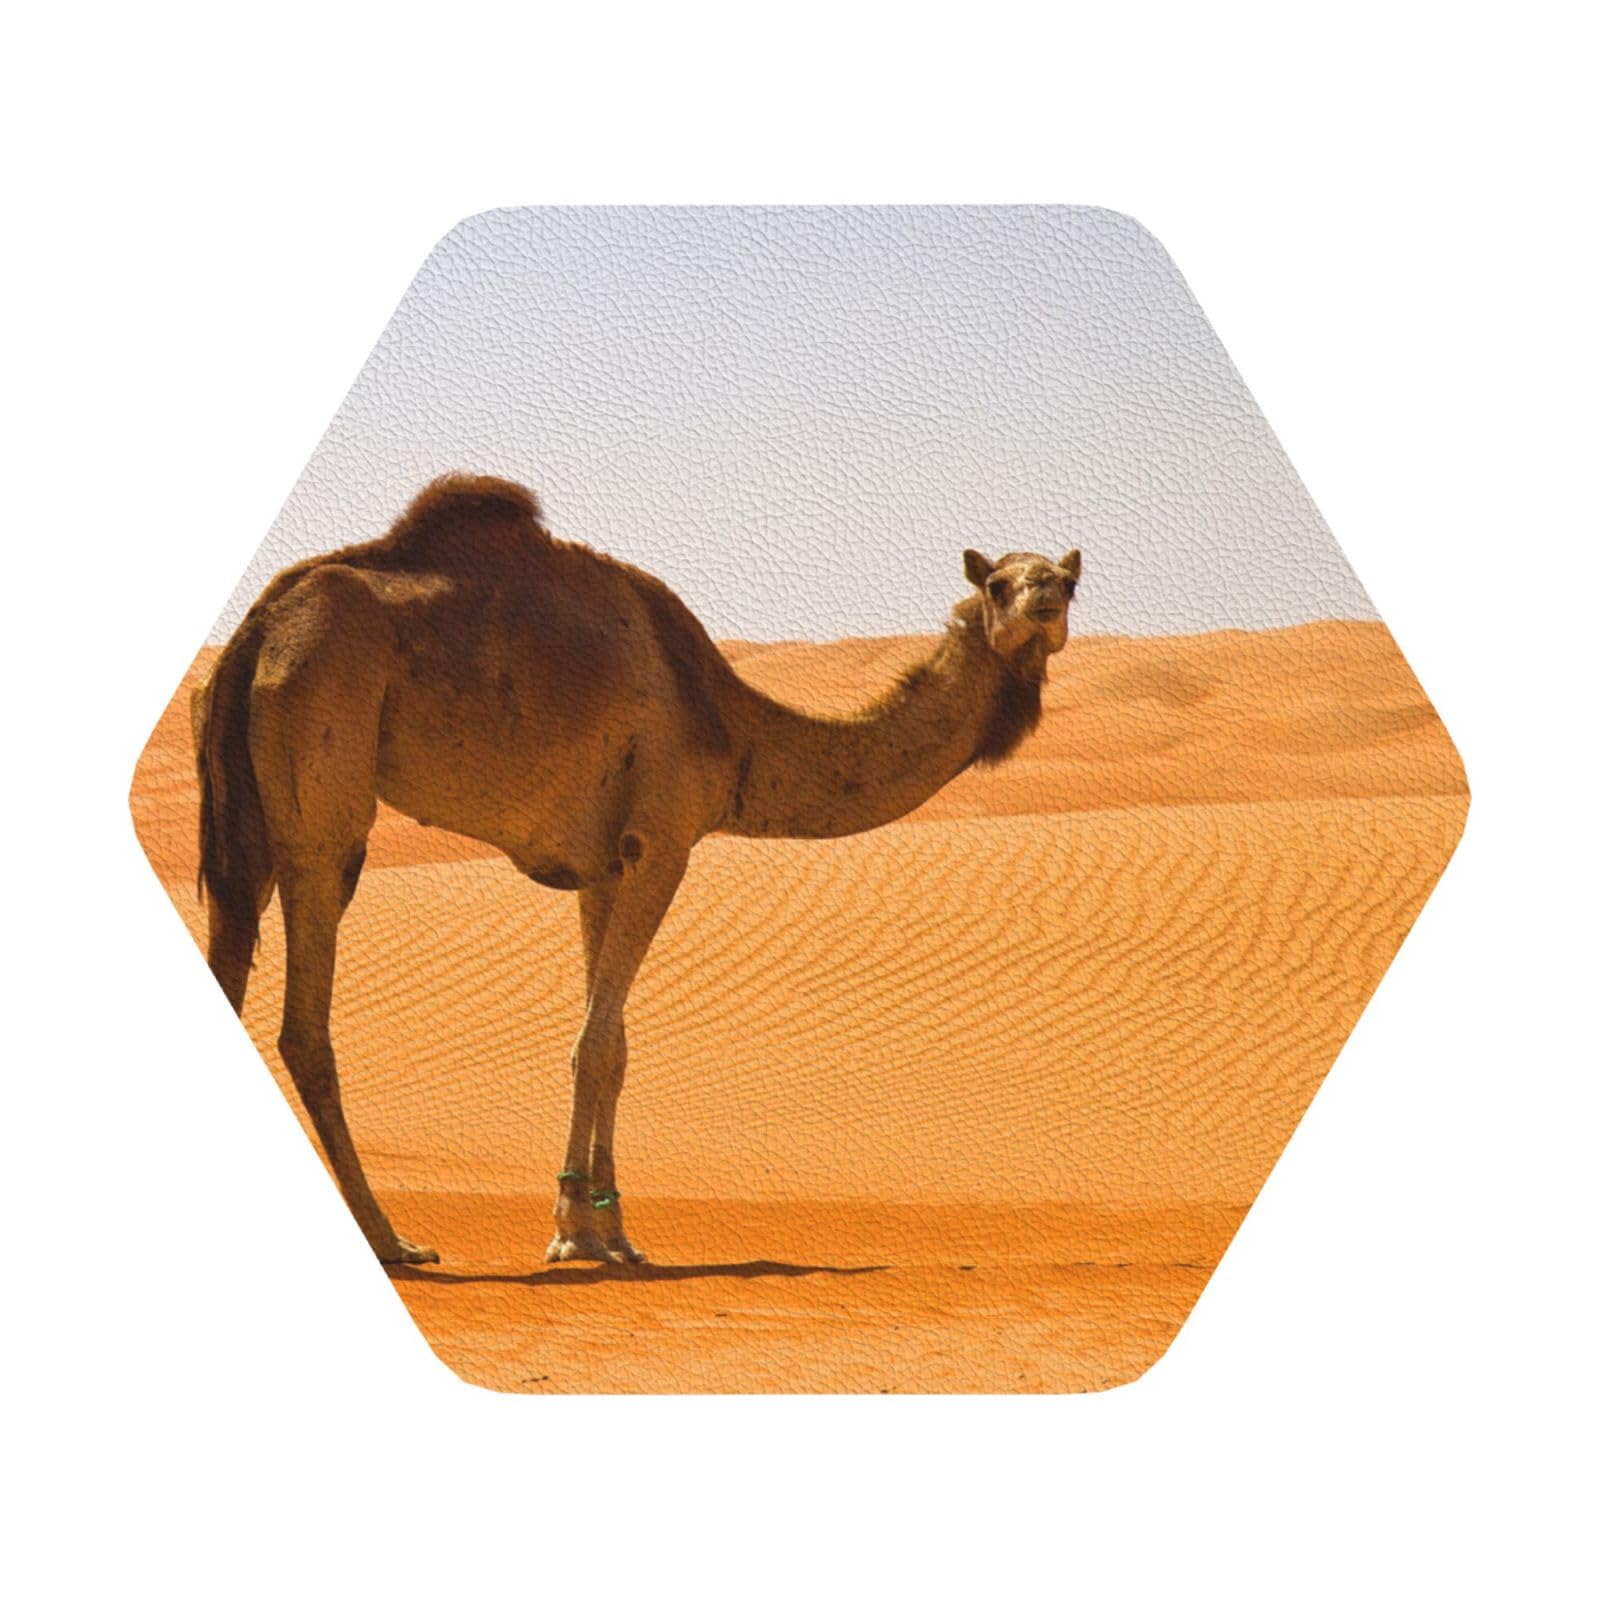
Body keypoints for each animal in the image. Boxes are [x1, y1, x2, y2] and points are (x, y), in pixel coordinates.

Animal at [195, 475, 1082, 1266]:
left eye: (1068, 579)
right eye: (1000, 582)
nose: (1045, 599)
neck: (732, 728)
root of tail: (260, 625)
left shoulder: (602, 866)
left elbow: (614, 1043)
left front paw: (612, 1230)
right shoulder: (665, 838)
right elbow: (594, 1043)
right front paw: (571, 1234)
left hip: (250, 812)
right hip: (324, 761)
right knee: (306, 1017)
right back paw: (393, 1239)